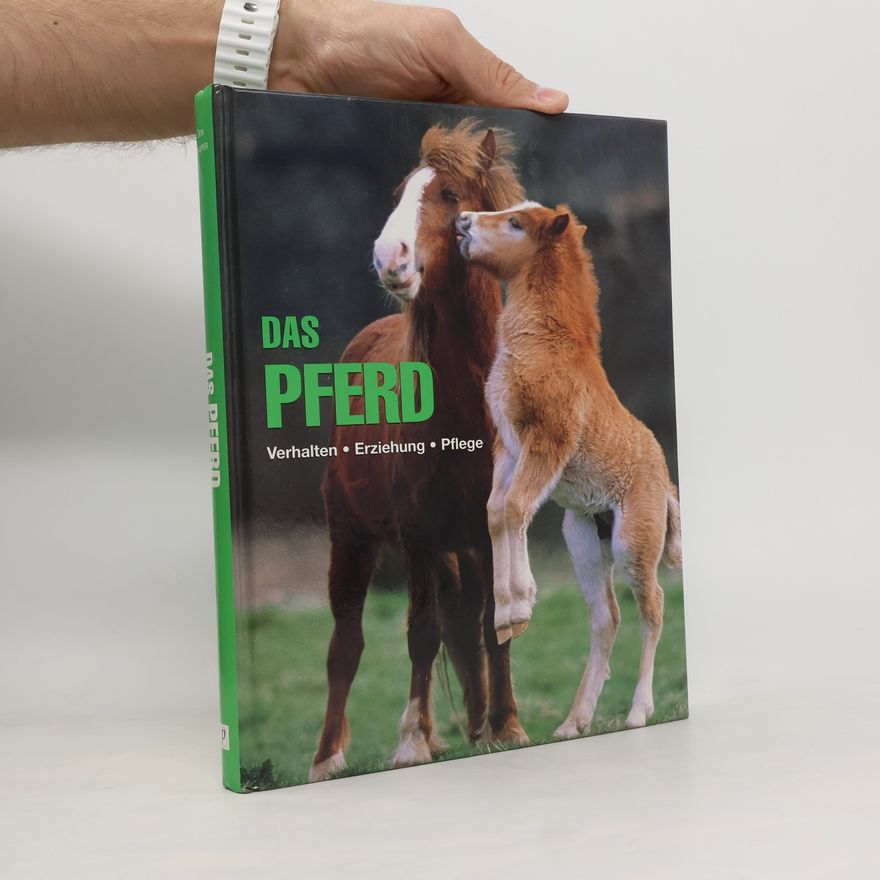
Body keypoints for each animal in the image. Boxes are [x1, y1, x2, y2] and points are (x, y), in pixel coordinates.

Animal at [310, 120, 528, 782]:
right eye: (402, 193)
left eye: (452, 194)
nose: (391, 258)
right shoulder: (417, 533)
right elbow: (420, 631)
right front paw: (410, 742)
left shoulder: (492, 530)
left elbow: (493, 627)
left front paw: (506, 727)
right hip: (351, 537)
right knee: (347, 643)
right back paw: (328, 757)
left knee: (466, 625)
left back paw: (476, 726)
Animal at [455, 201, 682, 735]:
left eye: (516, 224)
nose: (463, 221)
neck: (546, 344)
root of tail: (665, 482)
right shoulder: (508, 448)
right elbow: (496, 512)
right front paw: (506, 615)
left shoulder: (548, 442)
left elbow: (516, 507)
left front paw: (519, 606)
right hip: (582, 540)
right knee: (606, 617)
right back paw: (573, 722)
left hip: (633, 541)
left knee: (653, 606)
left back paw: (638, 711)